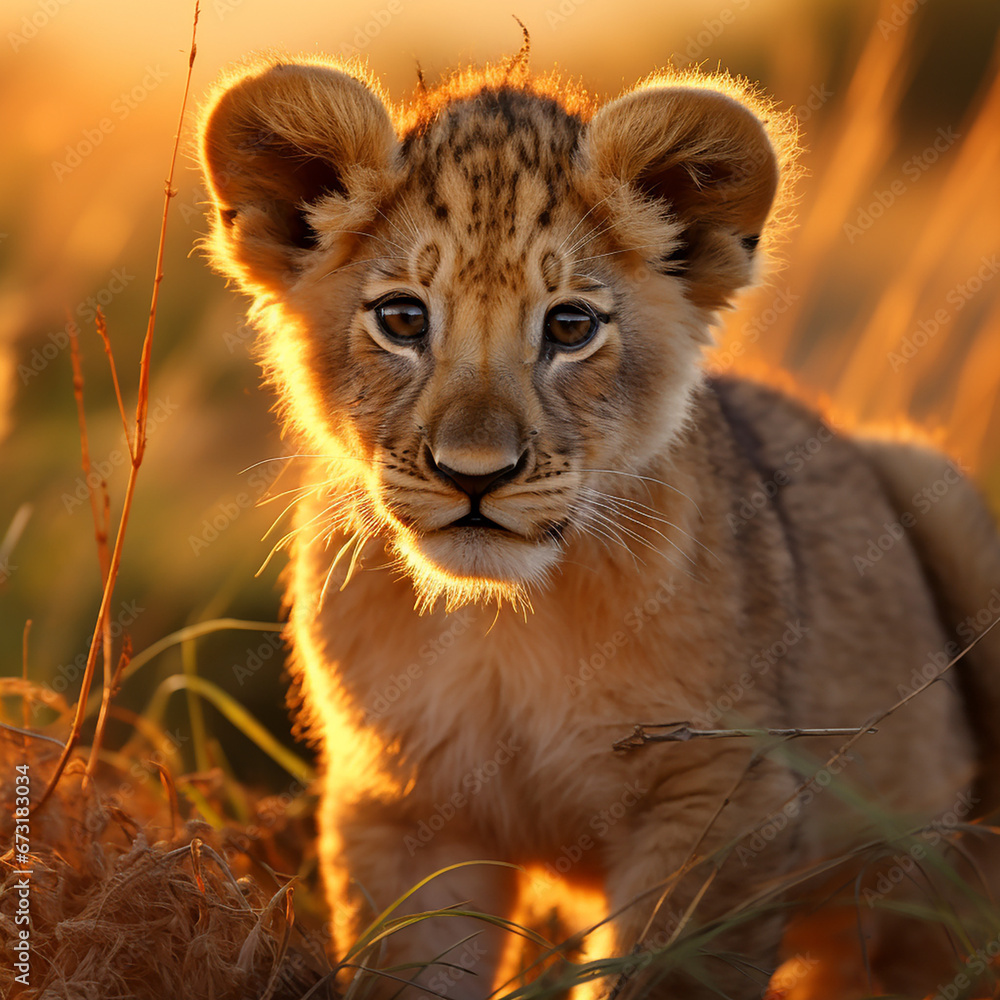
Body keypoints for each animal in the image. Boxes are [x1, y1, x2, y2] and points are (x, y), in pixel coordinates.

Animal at [197, 52, 1000, 998]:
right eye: (402, 318)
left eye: (570, 326)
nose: (475, 474)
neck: (502, 622)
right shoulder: (404, 804)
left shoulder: (718, 787)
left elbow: (663, 971)